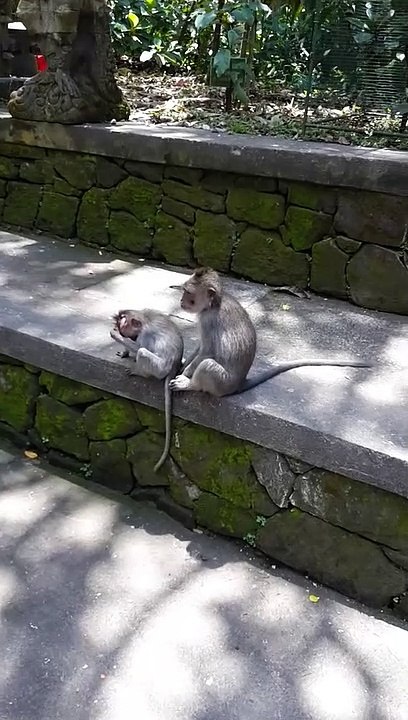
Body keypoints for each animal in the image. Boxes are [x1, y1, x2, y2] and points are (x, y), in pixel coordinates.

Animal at [110, 309, 183, 472]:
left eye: (122, 325)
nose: (119, 328)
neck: (143, 319)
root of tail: (174, 367)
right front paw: (124, 352)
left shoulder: (144, 335)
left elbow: (139, 347)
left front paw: (116, 335)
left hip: (159, 368)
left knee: (142, 352)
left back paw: (140, 372)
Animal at [169, 267, 371, 398]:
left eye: (188, 292)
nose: (181, 301)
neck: (213, 303)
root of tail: (239, 384)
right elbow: (201, 347)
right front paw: (184, 363)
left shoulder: (208, 320)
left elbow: (208, 351)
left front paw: (185, 375)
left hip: (222, 383)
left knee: (208, 365)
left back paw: (191, 385)